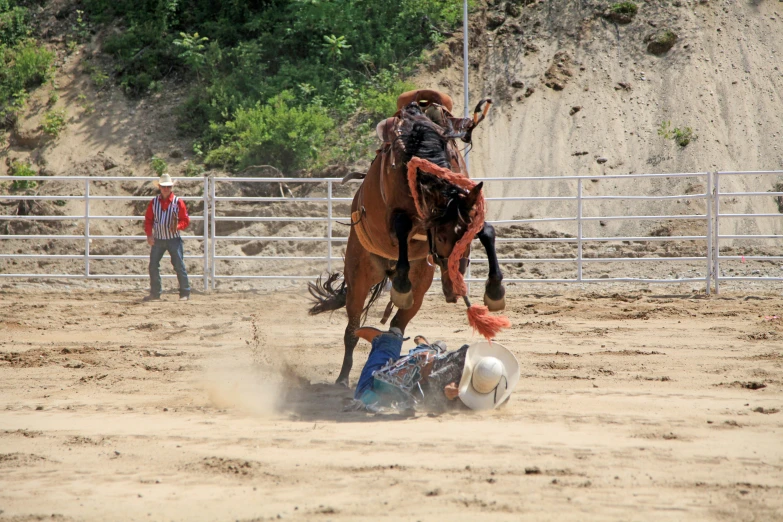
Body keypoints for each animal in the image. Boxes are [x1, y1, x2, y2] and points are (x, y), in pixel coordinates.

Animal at [310, 88, 506, 382]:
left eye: (466, 240)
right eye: (442, 238)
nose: (455, 289)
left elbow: (487, 231)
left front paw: (495, 291)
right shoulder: (397, 218)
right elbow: (402, 228)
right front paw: (402, 285)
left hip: (420, 287)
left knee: (396, 327)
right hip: (358, 278)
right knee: (352, 330)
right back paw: (343, 378)